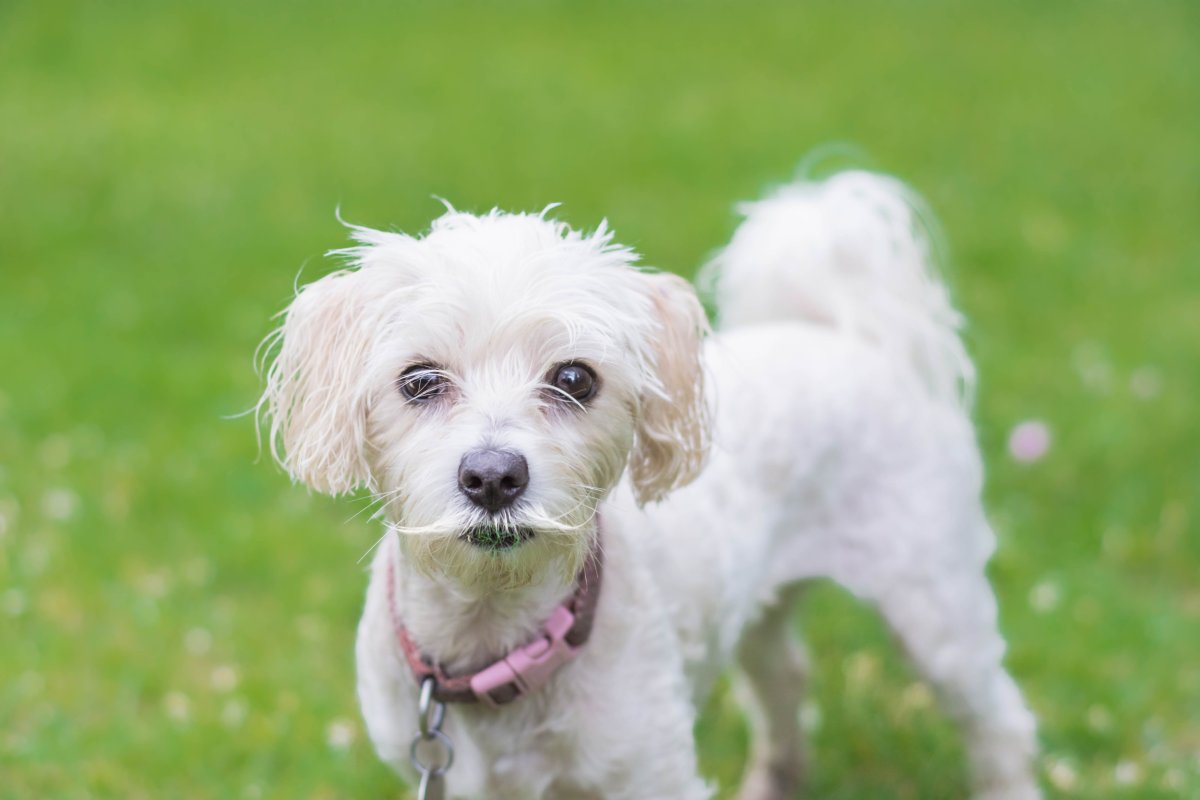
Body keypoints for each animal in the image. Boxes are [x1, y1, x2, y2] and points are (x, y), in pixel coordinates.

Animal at [260, 172, 1041, 796]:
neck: (494, 638)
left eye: (575, 378)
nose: (493, 476)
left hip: (936, 610)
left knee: (1000, 721)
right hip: (758, 611)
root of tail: (853, 339)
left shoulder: (650, 773)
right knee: (786, 679)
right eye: (419, 380)